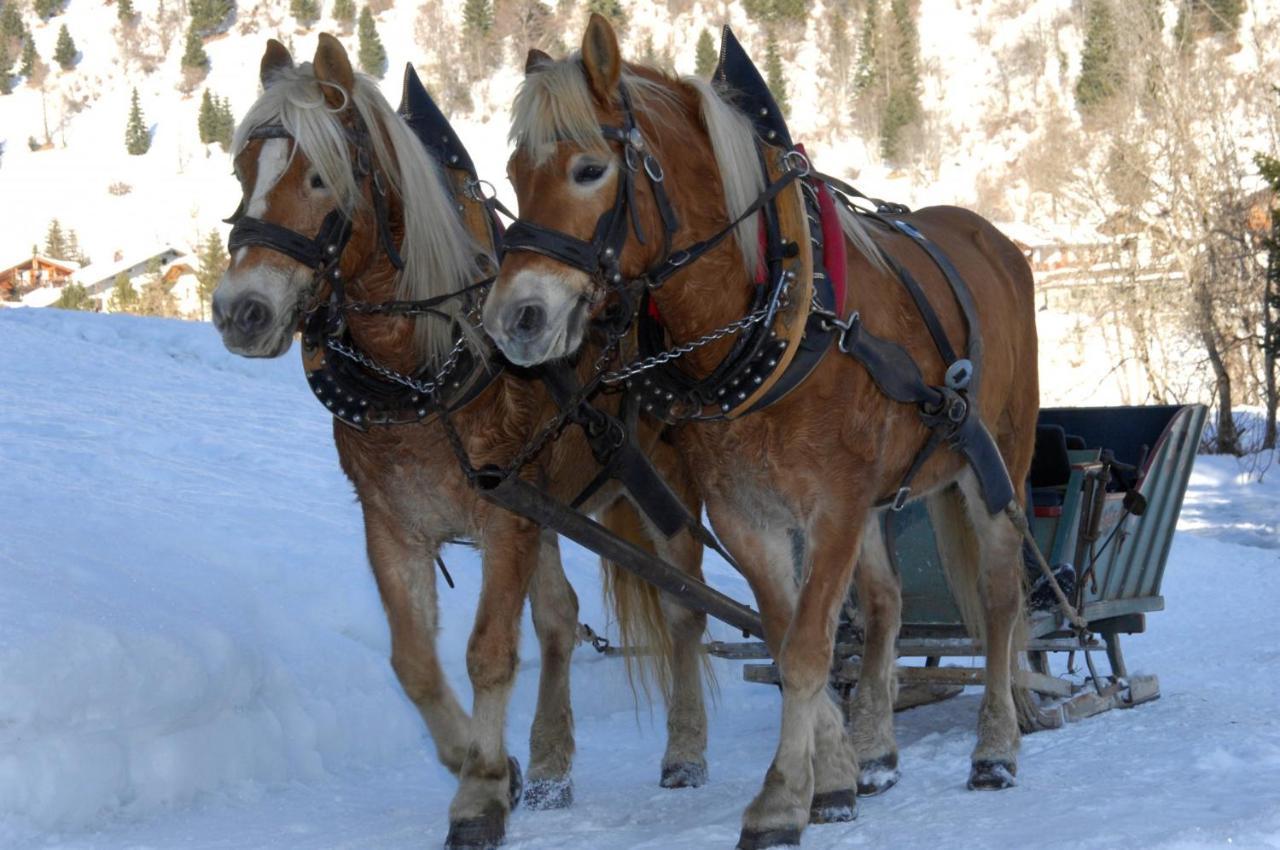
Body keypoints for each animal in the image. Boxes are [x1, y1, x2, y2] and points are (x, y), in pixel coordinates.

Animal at [208, 34, 711, 850]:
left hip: (663, 483)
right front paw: (495, 767)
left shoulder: (503, 520)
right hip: (552, 509)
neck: (421, 366)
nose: (239, 311)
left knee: (683, 607)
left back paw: (687, 750)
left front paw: (477, 797)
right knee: (561, 621)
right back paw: (549, 765)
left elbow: (488, 654)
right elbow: (415, 663)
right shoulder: (395, 525)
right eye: (243, 172)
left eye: (321, 177)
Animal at [481, 16, 1039, 844]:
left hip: (997, 459)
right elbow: (789, 639)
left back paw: (996, 747)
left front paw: (781, 799)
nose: (515, 320)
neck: (782, 314)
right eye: (516, 174)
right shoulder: (749, 513)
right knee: (885, 606)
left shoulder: (832, 508)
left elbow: (807, 649)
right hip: (881, 498)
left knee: (1001, 599)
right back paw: (878, 749)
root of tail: (993, 240)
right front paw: (830, 781)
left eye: (588, 170)